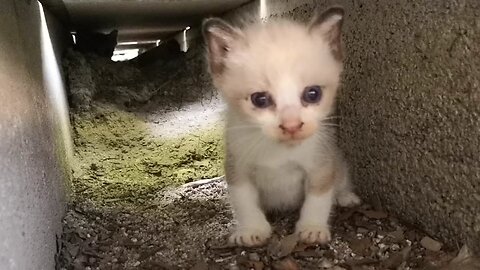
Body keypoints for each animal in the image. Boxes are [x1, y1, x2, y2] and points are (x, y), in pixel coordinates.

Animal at [202, 5, 360, 247]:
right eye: (260, 99)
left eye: (313, 94)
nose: (292, 125)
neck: (280, 151)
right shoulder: (237, 168)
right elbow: (244, 202)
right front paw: (252, 230)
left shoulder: (321, 165)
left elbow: (318, 199)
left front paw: (312, 228)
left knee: (341, 179)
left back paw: (346, 197)